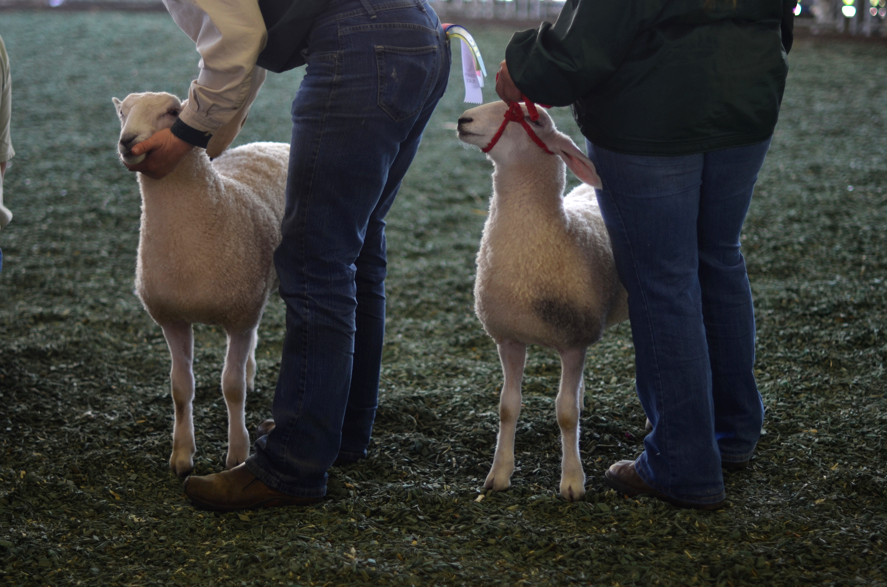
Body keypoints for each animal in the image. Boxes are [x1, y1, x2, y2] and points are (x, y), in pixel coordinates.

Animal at [113, 91, 289, 478]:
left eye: (172, 112)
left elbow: (231, 388)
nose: (127, 141)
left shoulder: (238, 318)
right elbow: (181, 388)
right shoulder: (173, 319)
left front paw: (237, 453)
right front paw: (182, 455)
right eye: (122, 112)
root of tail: (271, 143)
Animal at [456, 101, 629, 501]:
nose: (463, 120)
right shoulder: (509, 339)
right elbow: (508, 407)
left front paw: (572, 481)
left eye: (532, 119)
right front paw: (499, 474)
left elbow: (565, 413)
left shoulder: (573, 341)